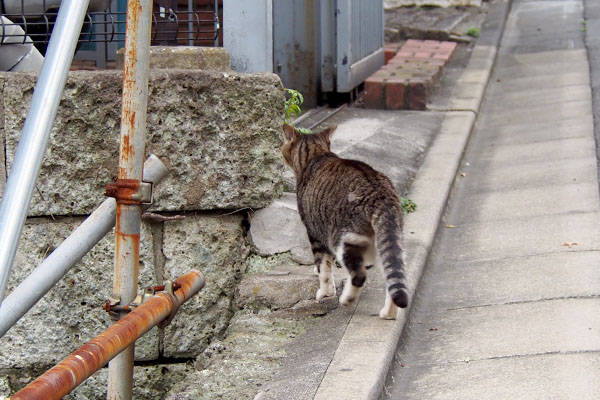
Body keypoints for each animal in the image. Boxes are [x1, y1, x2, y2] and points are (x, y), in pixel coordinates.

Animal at [282, 123, 408, 320]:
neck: (316, 155)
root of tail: (380, 194)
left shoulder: (315, 232)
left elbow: (324, 267)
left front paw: (325, 292)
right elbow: (327, 263)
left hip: (345, 238)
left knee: (359, 275)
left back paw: (347, 299)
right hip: (388, 238)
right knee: (394, 272)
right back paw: (388, 313)